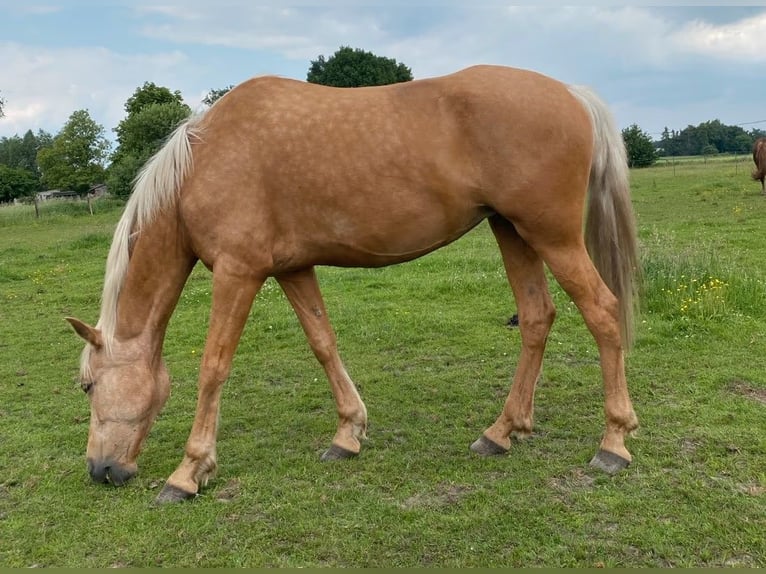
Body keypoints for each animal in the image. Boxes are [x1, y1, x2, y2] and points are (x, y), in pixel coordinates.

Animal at [66, 65, 640, 504]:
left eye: (88, 386)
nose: (101, 471)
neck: (203, 161)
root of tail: (572, 94)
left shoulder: (238, 272)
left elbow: (214, 367)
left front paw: (189, 472)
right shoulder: (291, 269)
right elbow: (323, 343)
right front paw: (348, 433)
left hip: (552, 236)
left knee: (602, 311)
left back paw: (612, 443)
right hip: (512, 231)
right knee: (537, 317)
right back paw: (502, 432)